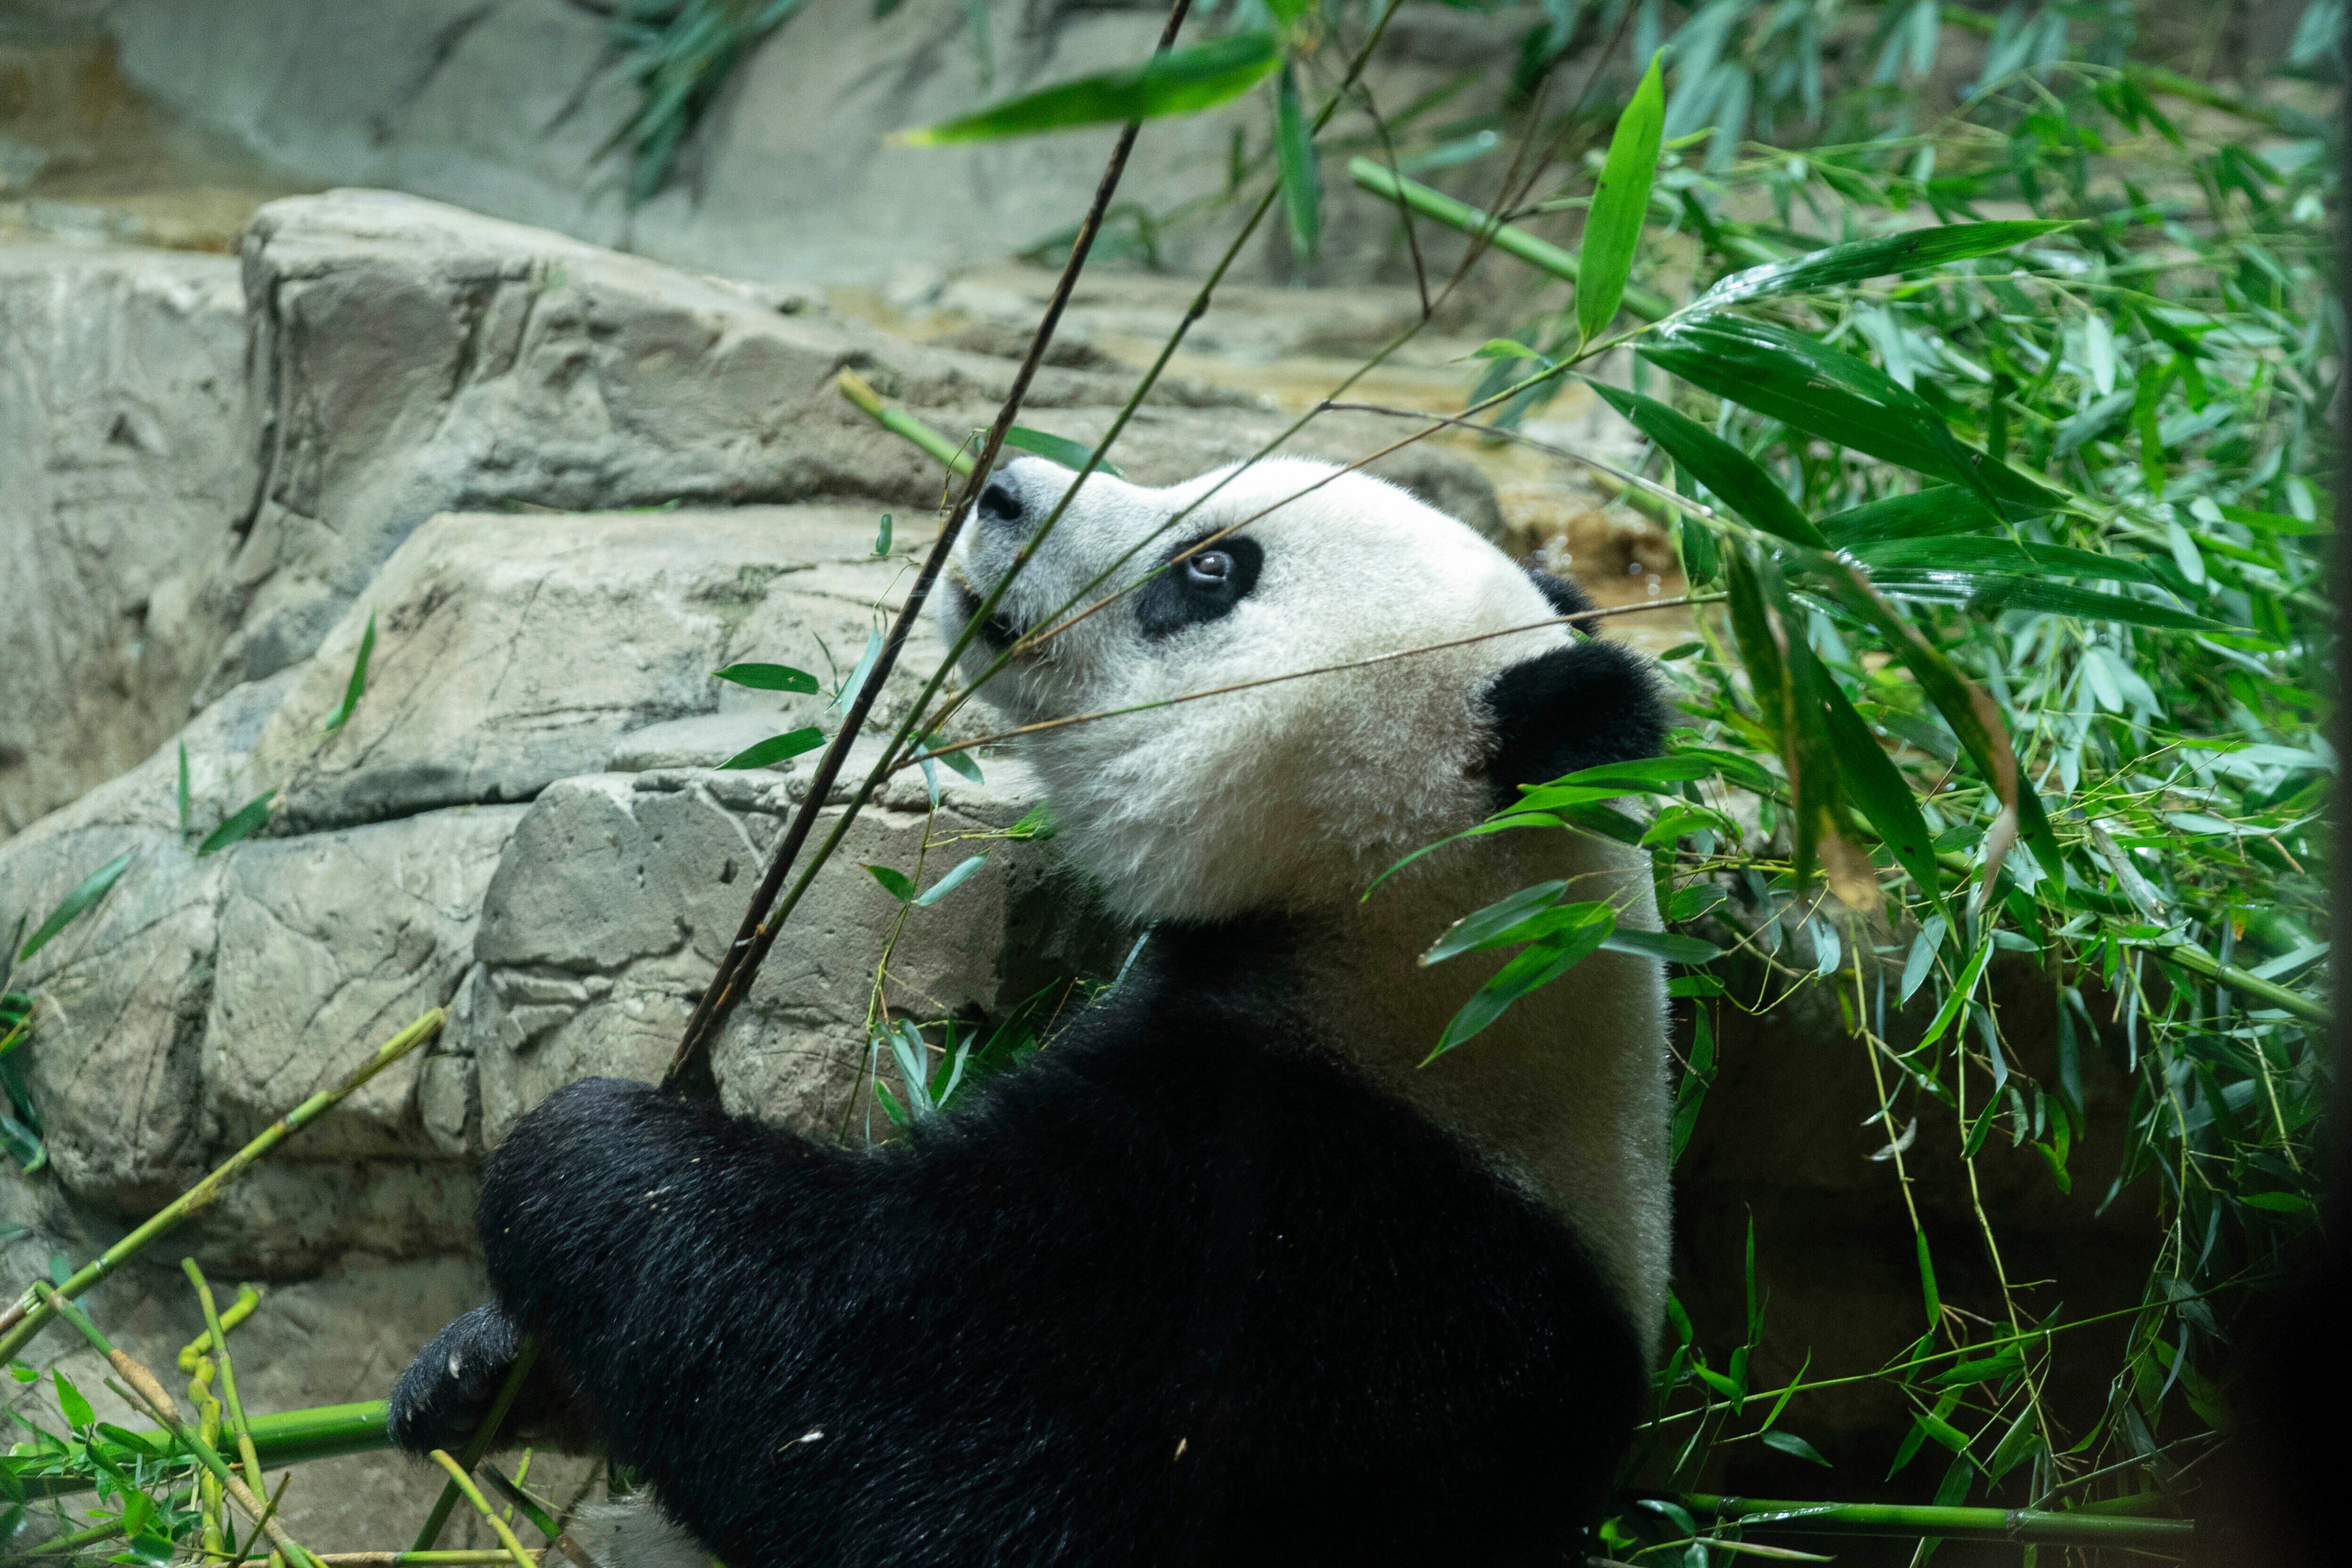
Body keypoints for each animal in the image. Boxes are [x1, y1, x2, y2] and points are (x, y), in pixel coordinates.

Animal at [389, 455, 1673, 1568]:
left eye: (1214, 567)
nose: (1004, 488)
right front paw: (475, 1372)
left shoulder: (1316, 1271)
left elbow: (885, 1424)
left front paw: (585, 1152)